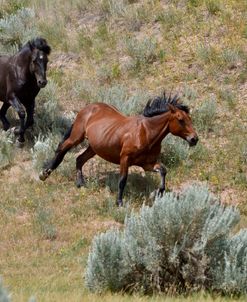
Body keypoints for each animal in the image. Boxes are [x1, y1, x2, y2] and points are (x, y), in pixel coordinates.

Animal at [40, 93, 199, 206]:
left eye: (190, 119)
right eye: (180, 119)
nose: (194, 139)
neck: (145, 132)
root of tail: (88, 108)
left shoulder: (147, 164)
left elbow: (163, 171)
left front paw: (159, 193)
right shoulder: (125, 159)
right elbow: (123, 180)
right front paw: (120, 202)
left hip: (94, 148)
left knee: (79, 159)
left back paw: (80, 183)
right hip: (76, 137)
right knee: (61, 150)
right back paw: (44, 174)